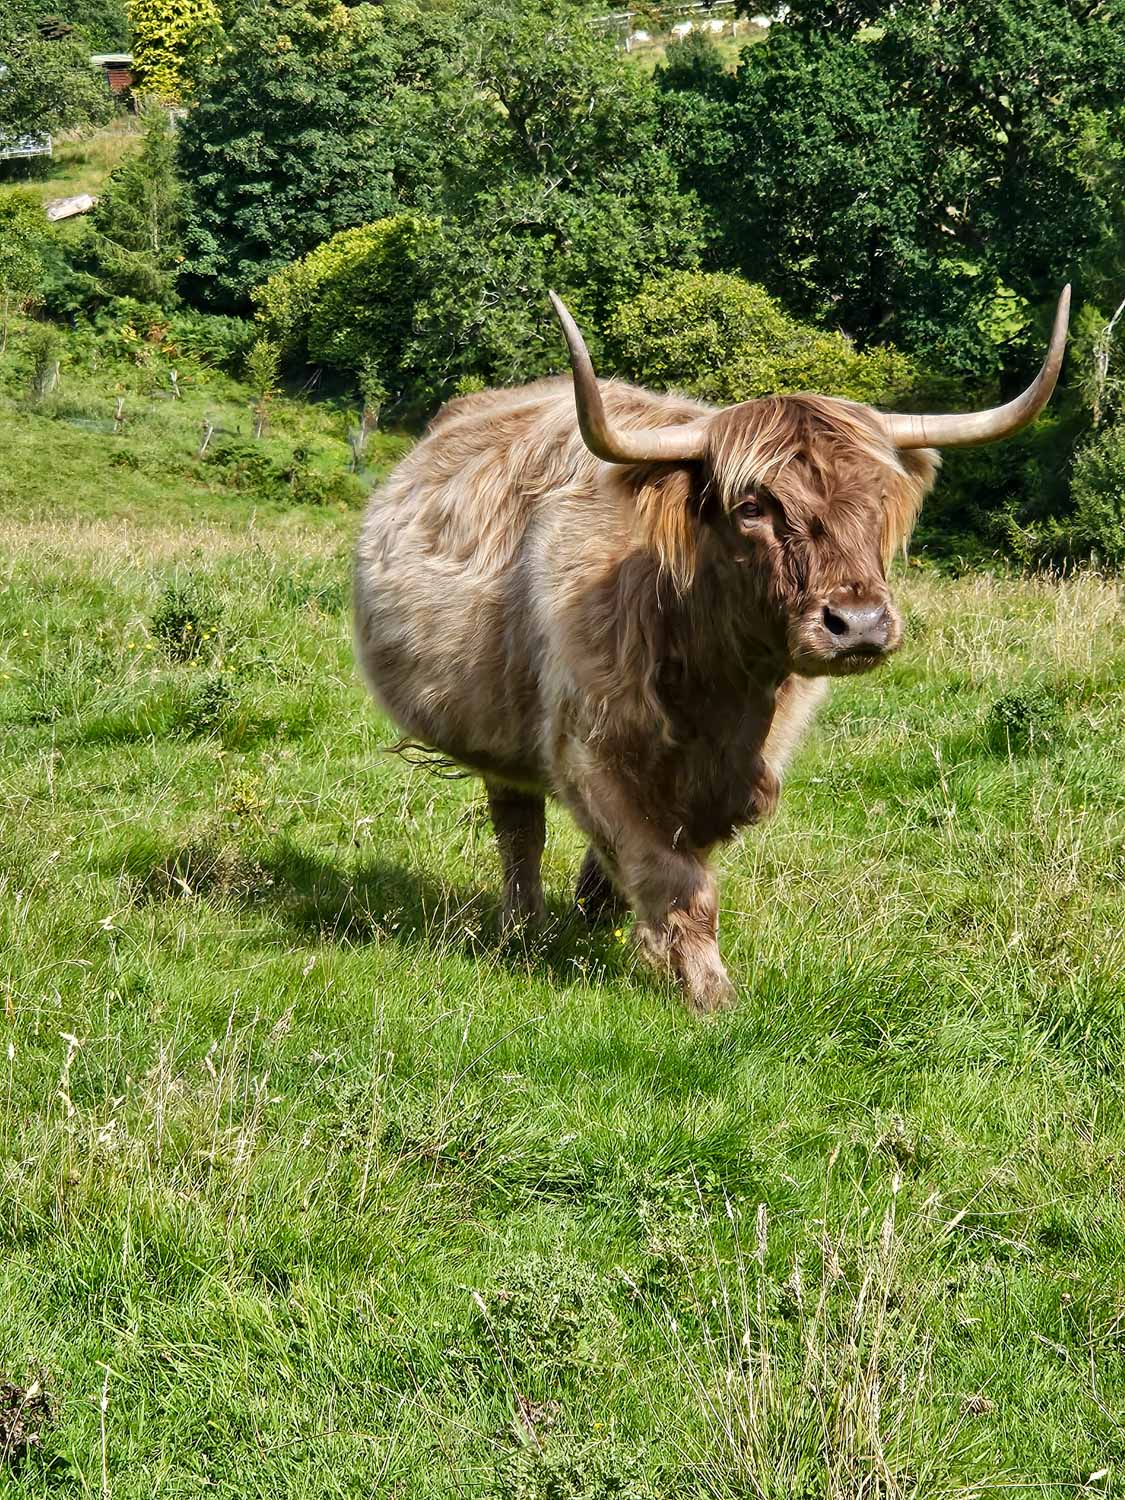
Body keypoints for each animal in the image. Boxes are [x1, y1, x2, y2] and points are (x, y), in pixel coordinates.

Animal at [354, 287, 1069, 1011]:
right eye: (752, 507)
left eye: (877, 498)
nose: (860, 623)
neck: (715, 680)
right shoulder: (588, 748)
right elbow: (675, 881)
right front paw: (708, 993)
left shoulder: (747, 764)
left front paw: (612, 921)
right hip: (497, 726)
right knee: (518, 826)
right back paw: (523, 928)